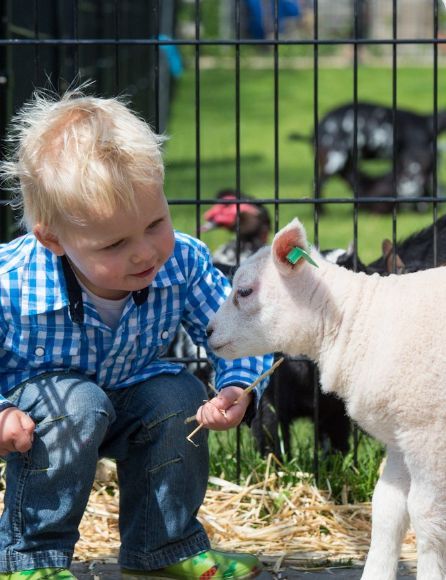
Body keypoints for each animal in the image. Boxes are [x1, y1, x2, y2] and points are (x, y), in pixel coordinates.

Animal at [207, 216, 446, 580]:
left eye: (244, 291)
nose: (208, 331)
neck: (360, 321)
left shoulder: (427, 433)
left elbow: (426, 515)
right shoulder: (400, 436)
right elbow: (387, 510)